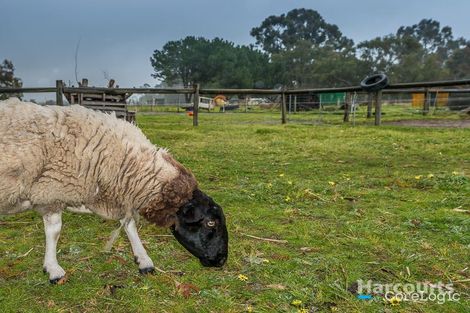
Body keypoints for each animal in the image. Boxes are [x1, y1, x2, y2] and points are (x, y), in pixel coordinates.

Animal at [0, 97, 228, 282]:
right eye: (210, 222)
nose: (222, 260)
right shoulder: (51, 190)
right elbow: (54, 231)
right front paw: (53, 270)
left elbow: (129, 224)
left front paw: (143, 260)